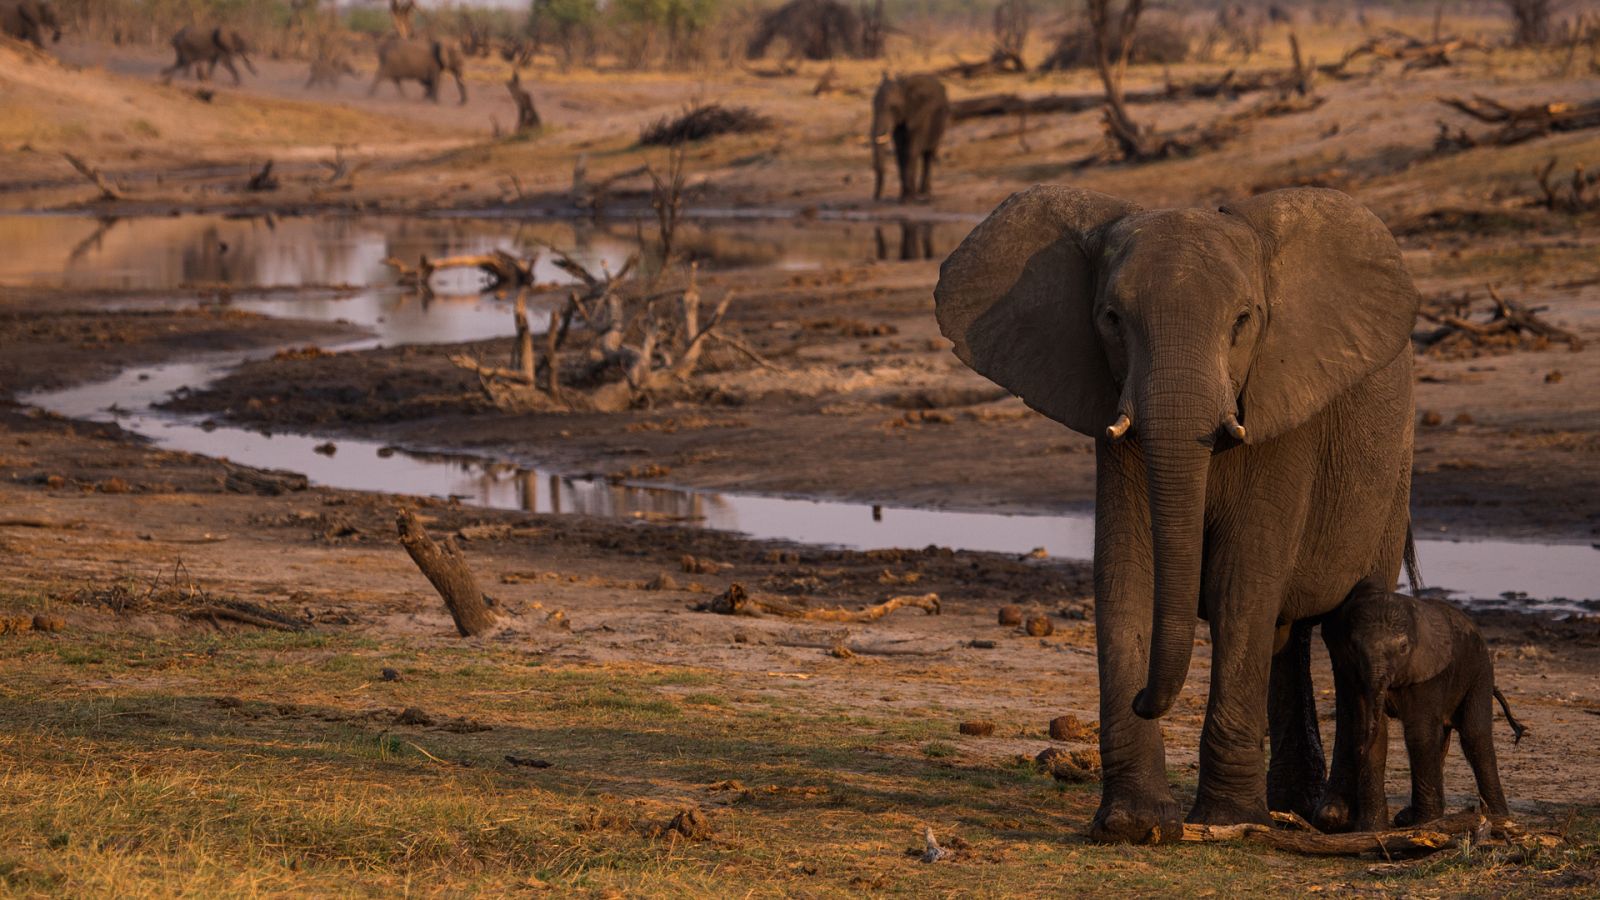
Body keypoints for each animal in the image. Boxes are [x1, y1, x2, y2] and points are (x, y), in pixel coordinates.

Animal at [871, 74, 950, 202]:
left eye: (893, 107)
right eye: (873, 106)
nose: (876, 197)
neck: (904, 88)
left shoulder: (921, 116)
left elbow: (910, 151)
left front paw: (907, 200)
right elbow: (900, 152)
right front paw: (903, 198)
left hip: (941, 124)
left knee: (929, 155)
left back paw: (925, 193)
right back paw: (920, 192)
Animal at [934, 185, 1422, 841]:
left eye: (1243, 321)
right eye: (1111, 319)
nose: (1144, 698)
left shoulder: (1284, 413)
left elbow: (1240, 583)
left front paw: (1226, 822)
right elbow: (1126, 575)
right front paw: (1135, 826)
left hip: (1394, 469)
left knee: (1350, 624)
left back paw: (1340, 820)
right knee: (1285, 634)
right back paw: (1290, 807)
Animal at [1316, 590, 1526, 832]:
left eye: (1403, 647)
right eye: (1354, 647)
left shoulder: (1429, 674)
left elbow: (1420, 734)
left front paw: (1426, 823)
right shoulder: (1356, 676)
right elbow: (1373, 732)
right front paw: (1370, 829)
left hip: (1481, 672)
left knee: (1475, 736)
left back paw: (1498, 817)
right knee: (1445, 738)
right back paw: (1406, 818)